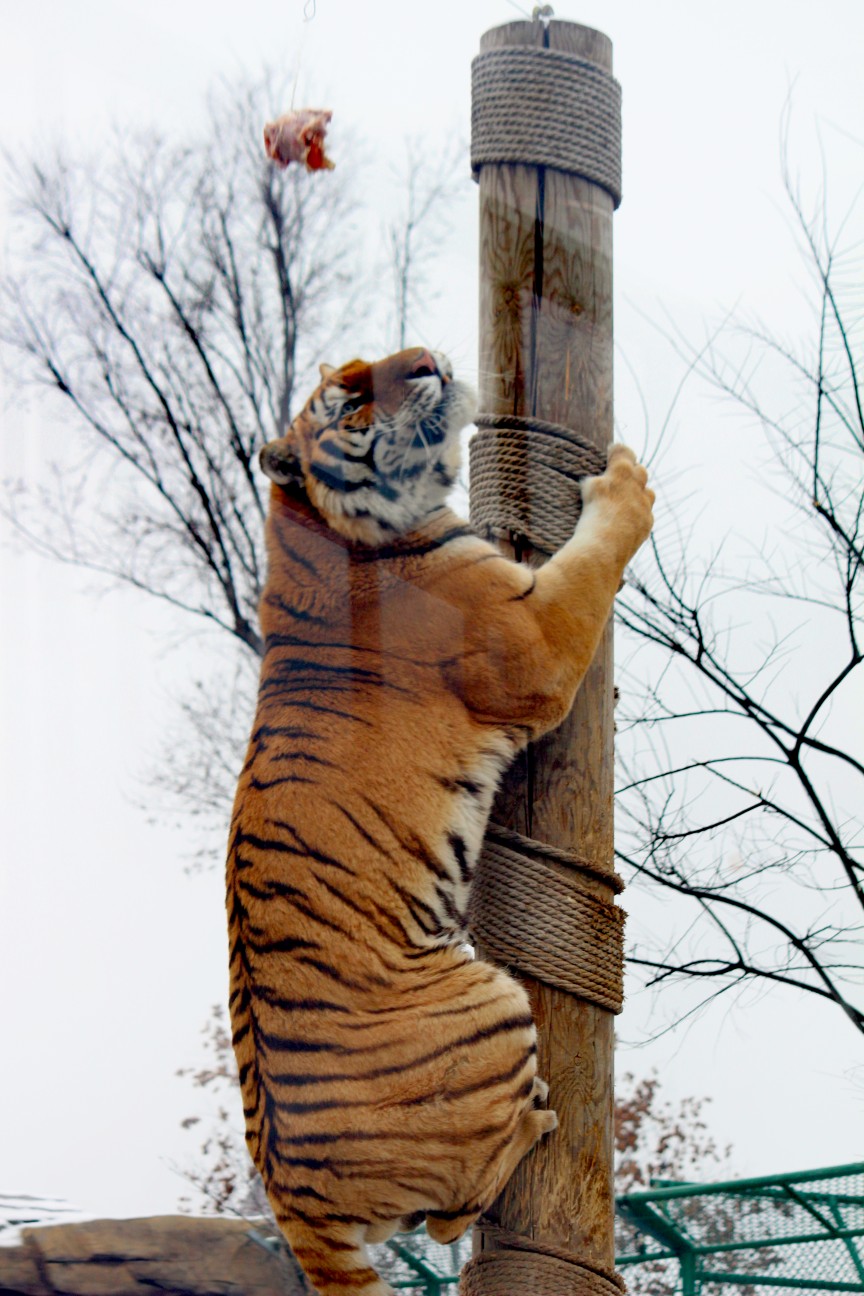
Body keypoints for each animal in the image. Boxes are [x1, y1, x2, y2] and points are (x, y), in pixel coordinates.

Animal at [226, 347, 652, 1296]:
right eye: (348, 398)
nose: (426, 360)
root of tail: (289, 1203)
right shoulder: (534, 641)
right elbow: (592, 562)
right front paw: (627, 486)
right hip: (488, 999)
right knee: (457, 1211)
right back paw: (536, 1121)